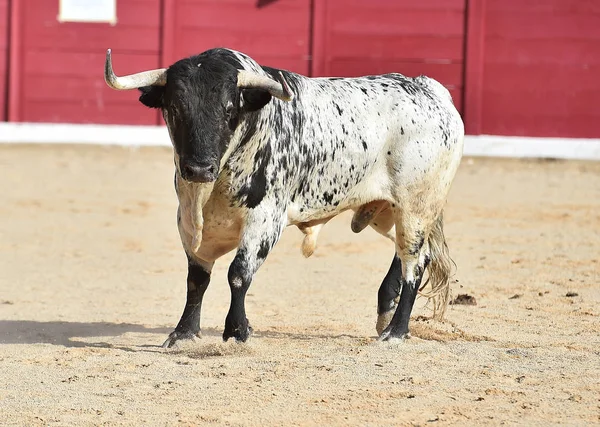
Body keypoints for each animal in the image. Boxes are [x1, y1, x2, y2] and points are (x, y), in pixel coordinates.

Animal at [104, 47, 464, 348]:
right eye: (176, 108)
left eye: (229, 108)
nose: (199, 168)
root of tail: (432, 90)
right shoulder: (190, 223)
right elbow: (197, 279)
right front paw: (183, 333)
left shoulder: (265, 219)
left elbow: (238, 273)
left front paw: (237, 331)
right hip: (386, 212)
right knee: (412, 254)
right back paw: (385, 313)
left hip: (417, 206)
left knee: (414, 261)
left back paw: (396, 331)